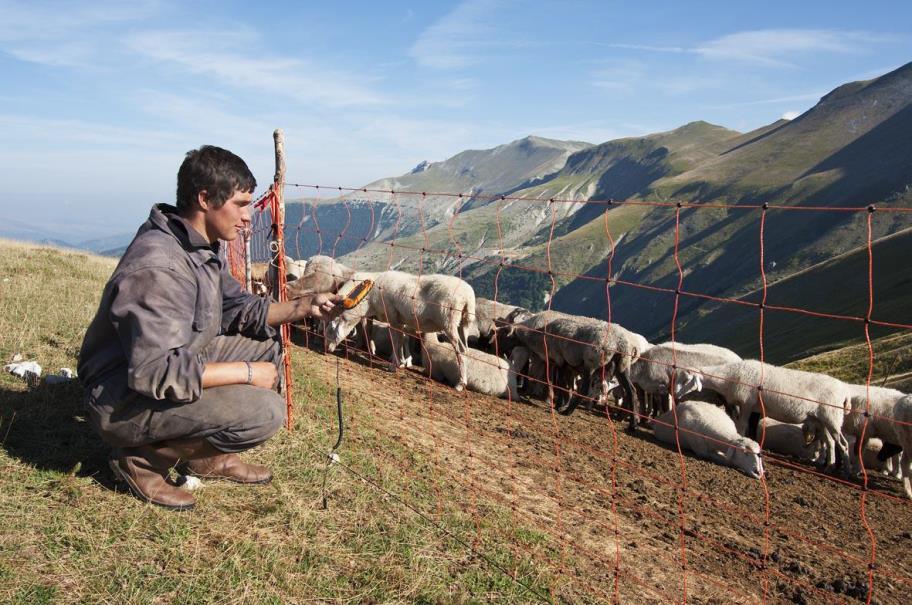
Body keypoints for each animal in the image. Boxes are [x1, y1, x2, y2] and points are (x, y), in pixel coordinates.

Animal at [326, 270, 474, 392]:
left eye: (330, 329)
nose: (326, 349)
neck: (368, 301)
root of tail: (468, 295)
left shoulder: (392, 317)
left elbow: (395, 341)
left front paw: (394, 365)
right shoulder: (400, 320)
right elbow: (402, 339)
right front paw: (402, 362)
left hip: (449, 322)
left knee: (460, 350)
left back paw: (461, 384)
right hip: (463, 324)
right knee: (465, 349)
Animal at [672, 358, 852, 472]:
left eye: (686, 380)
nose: (675, 395)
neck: (728, 377)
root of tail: (845, 392)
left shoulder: (746, 404)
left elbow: (741, 427)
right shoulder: (751, 408)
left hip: (832, 416)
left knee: (843, 444)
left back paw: (846, 470)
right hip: (821, 419)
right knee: (830, 442)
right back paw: (828, 465)